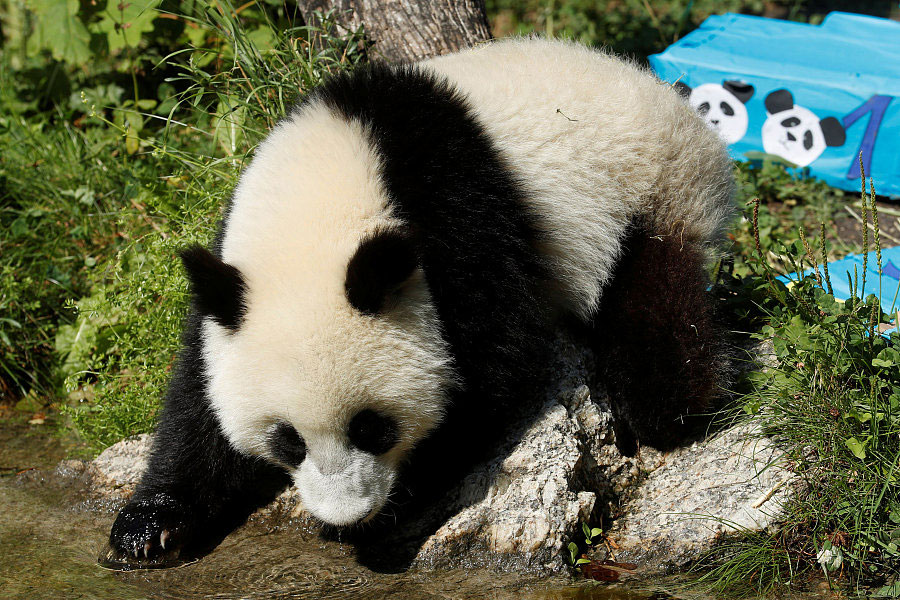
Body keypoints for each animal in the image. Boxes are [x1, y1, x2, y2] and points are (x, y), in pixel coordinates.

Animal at [107, 38, 735, 563]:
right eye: (288, 441)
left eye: (371, 428)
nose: (346, 513)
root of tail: (678, 108)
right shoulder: (232, 281)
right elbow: (196, 401)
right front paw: (148, 528)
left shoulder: (455, 214)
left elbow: (496, 360)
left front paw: (395, 501)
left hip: (653, 193)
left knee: (656, 314)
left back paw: (676, 403)